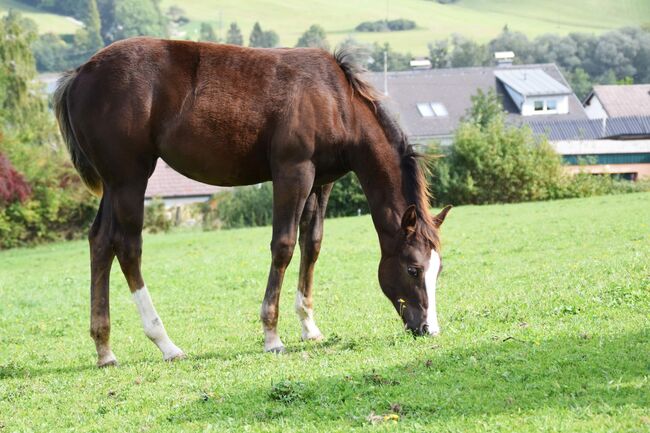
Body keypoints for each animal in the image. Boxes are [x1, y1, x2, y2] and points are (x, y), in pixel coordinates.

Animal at [54, 38, 450, 366]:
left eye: (438, 269)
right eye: (413, 269)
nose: (427, 329)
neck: (335, 100)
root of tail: (79, 75)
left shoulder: (321, 182)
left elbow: (312, 244)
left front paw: (309, 326)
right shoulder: (293, 172)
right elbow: (284, 246)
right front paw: (272, 335)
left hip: (113, 184)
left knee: (101, 242)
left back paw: (104, 348)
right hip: (130, 179)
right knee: (128, 247)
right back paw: (165, 343)